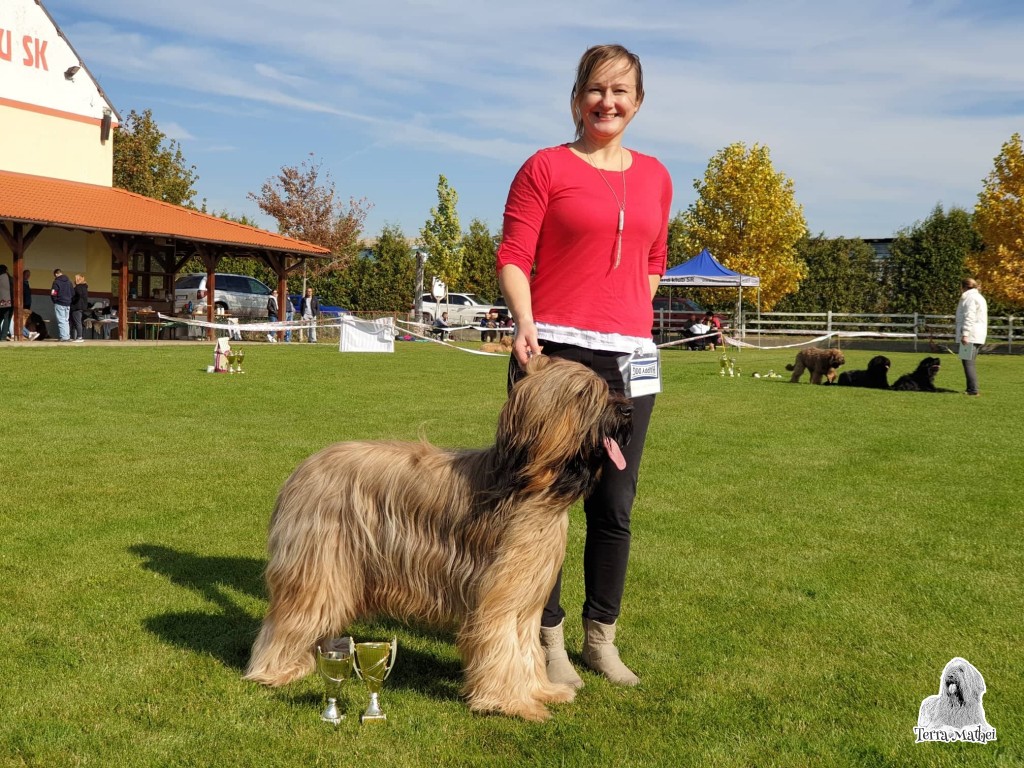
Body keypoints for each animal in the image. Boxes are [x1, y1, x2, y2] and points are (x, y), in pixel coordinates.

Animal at [245, 354, 630, 720]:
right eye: (586, 395)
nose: (628, 410)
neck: (531, 486)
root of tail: (303, 470)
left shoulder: (525, 596)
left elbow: (525, 647)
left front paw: (541, 691)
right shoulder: (499, 598)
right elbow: (503, 644)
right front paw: (512, 703)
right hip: (319, 565)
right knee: (291, 616)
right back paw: (274, 670)